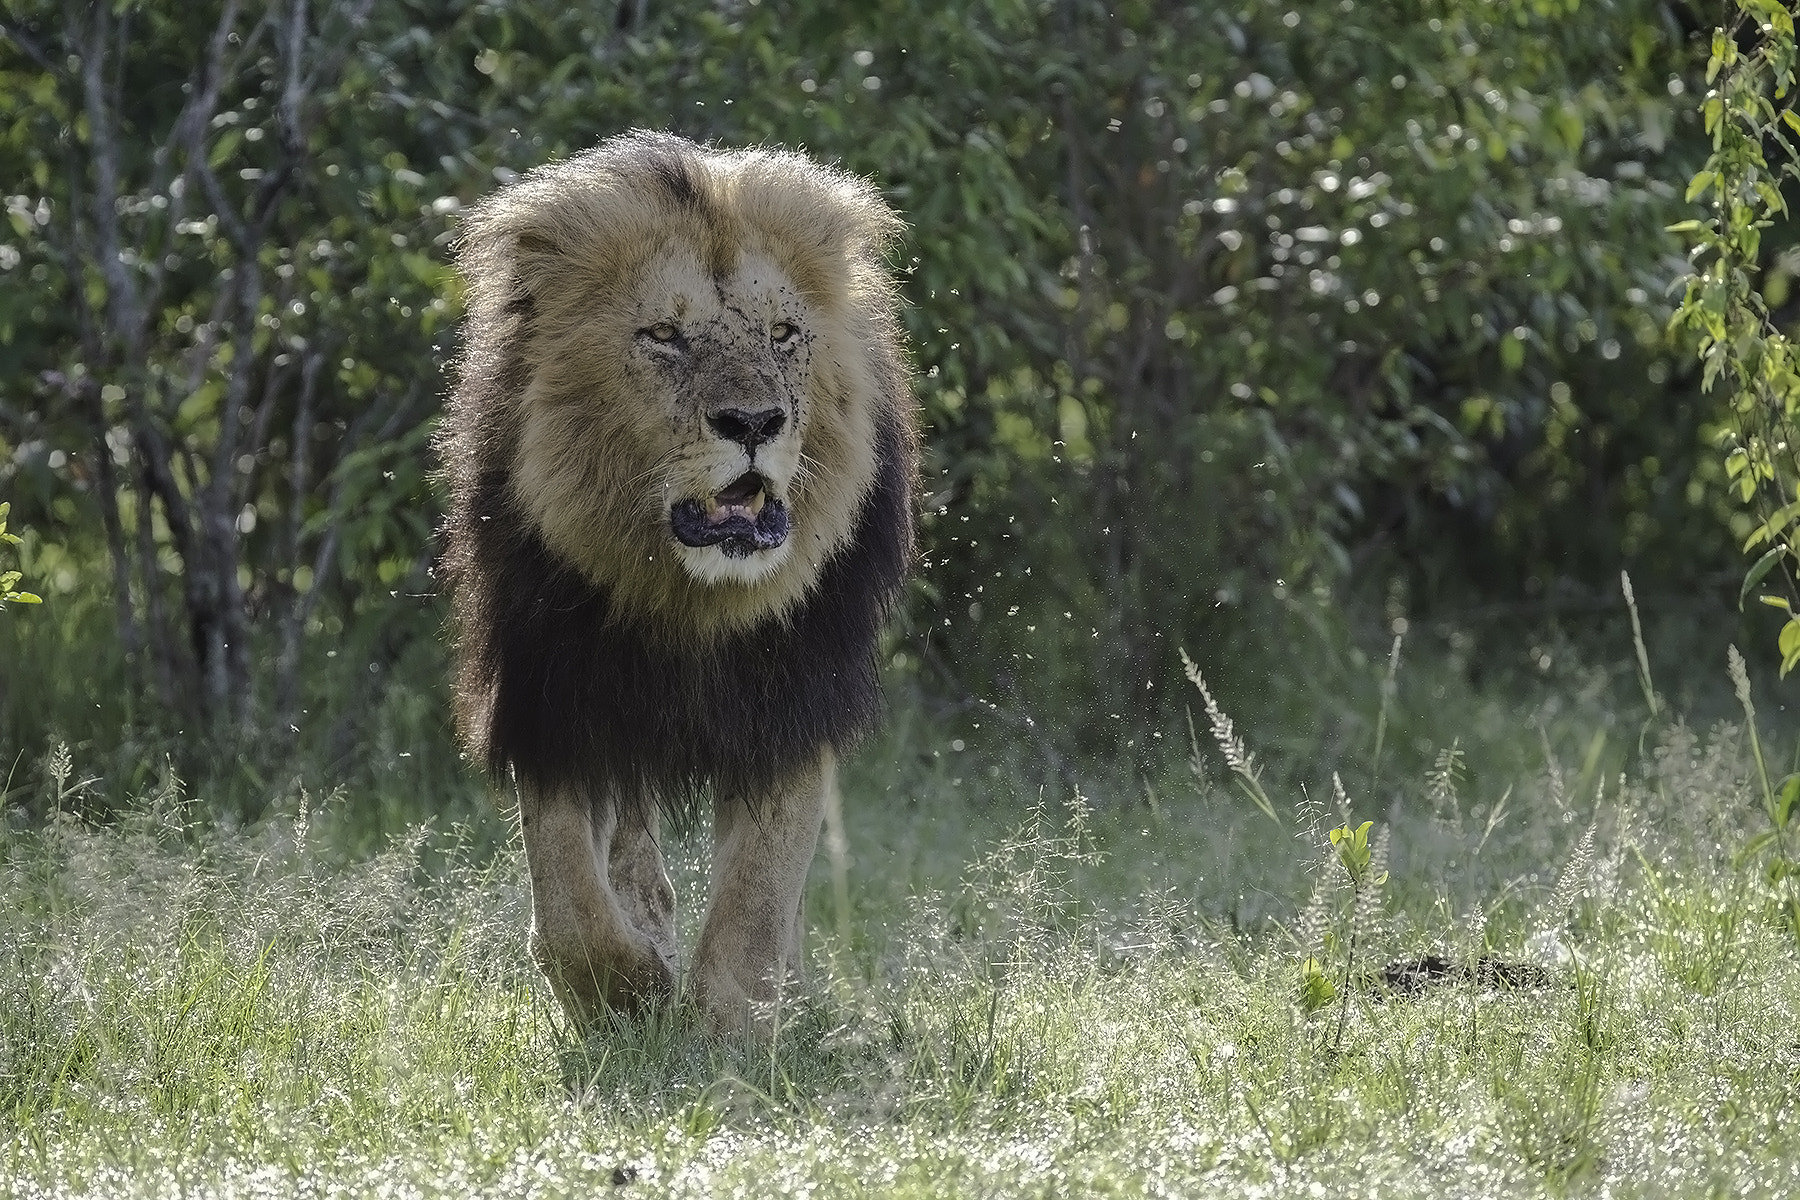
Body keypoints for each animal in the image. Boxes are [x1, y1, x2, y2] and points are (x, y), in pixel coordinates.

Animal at [437, 131, 917, 1034]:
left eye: (784, 333)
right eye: (663, 334)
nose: (755, 423)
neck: (688, 599)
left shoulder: (793, 696)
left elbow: (758, 895)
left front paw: (732, 1032)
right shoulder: (550, 693)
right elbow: (568, 901)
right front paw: (628, 995)